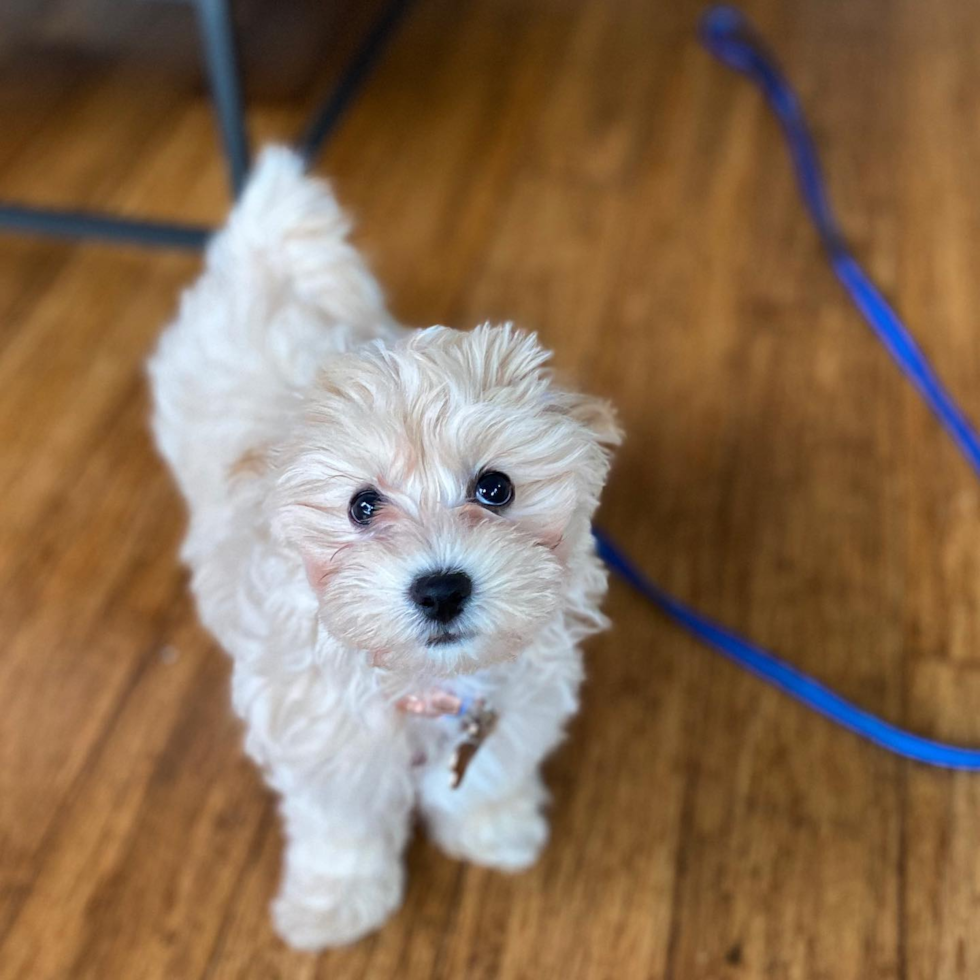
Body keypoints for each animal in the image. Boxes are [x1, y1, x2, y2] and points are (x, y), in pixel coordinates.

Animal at [145, 147, 620, 948]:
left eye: (496, 487)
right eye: (361, 506)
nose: (441, 588)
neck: (425, 684)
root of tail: (267, 250)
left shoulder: (513, 703)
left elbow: (485, 775)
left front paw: (493, 830)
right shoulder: (323, 736)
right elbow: (342, 824)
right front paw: (335, 902)